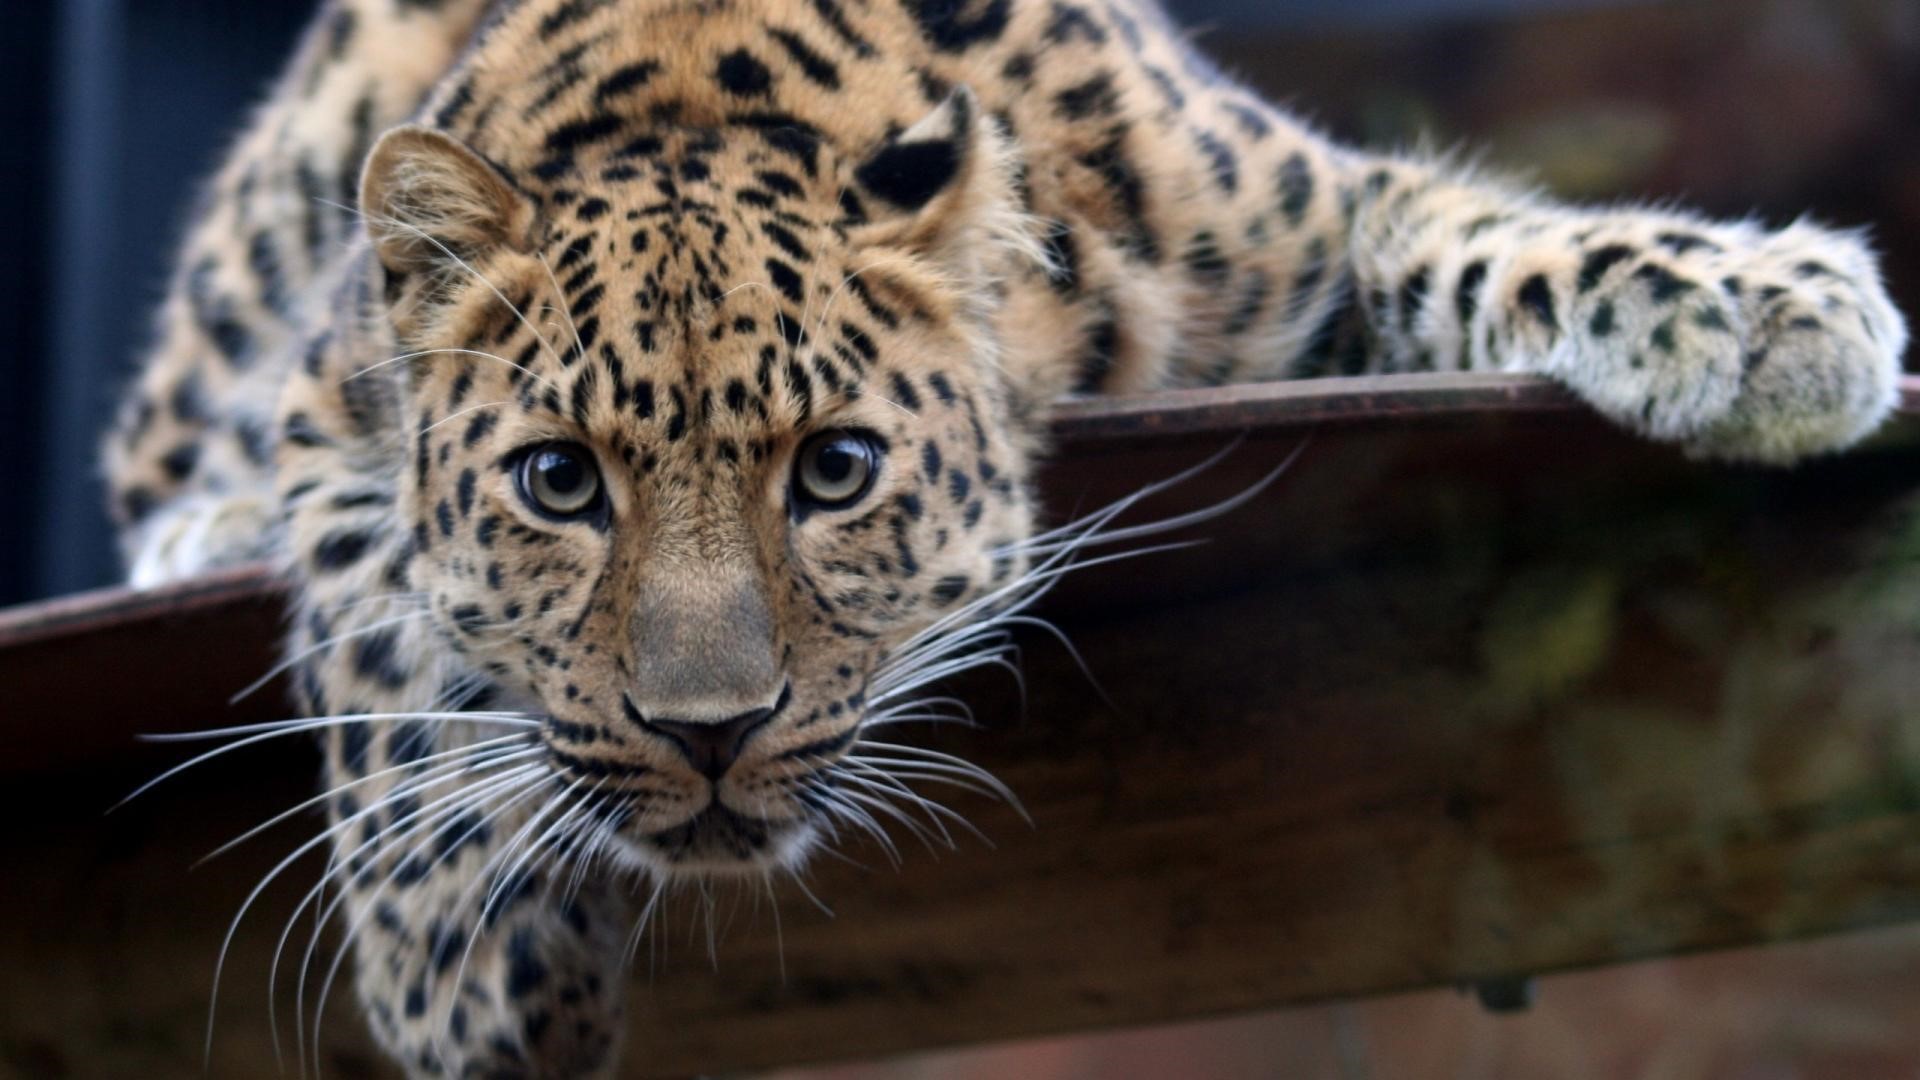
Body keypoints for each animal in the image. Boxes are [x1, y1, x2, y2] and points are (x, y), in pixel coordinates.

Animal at [102, 0, 1908, 1075]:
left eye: (835, 471)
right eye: (559, 484)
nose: (708, 734)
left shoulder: (1300, 220)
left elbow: (1474, 231)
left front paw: (1766, 310)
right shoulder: (332, 412)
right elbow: (382, 650)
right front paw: (465, 980)